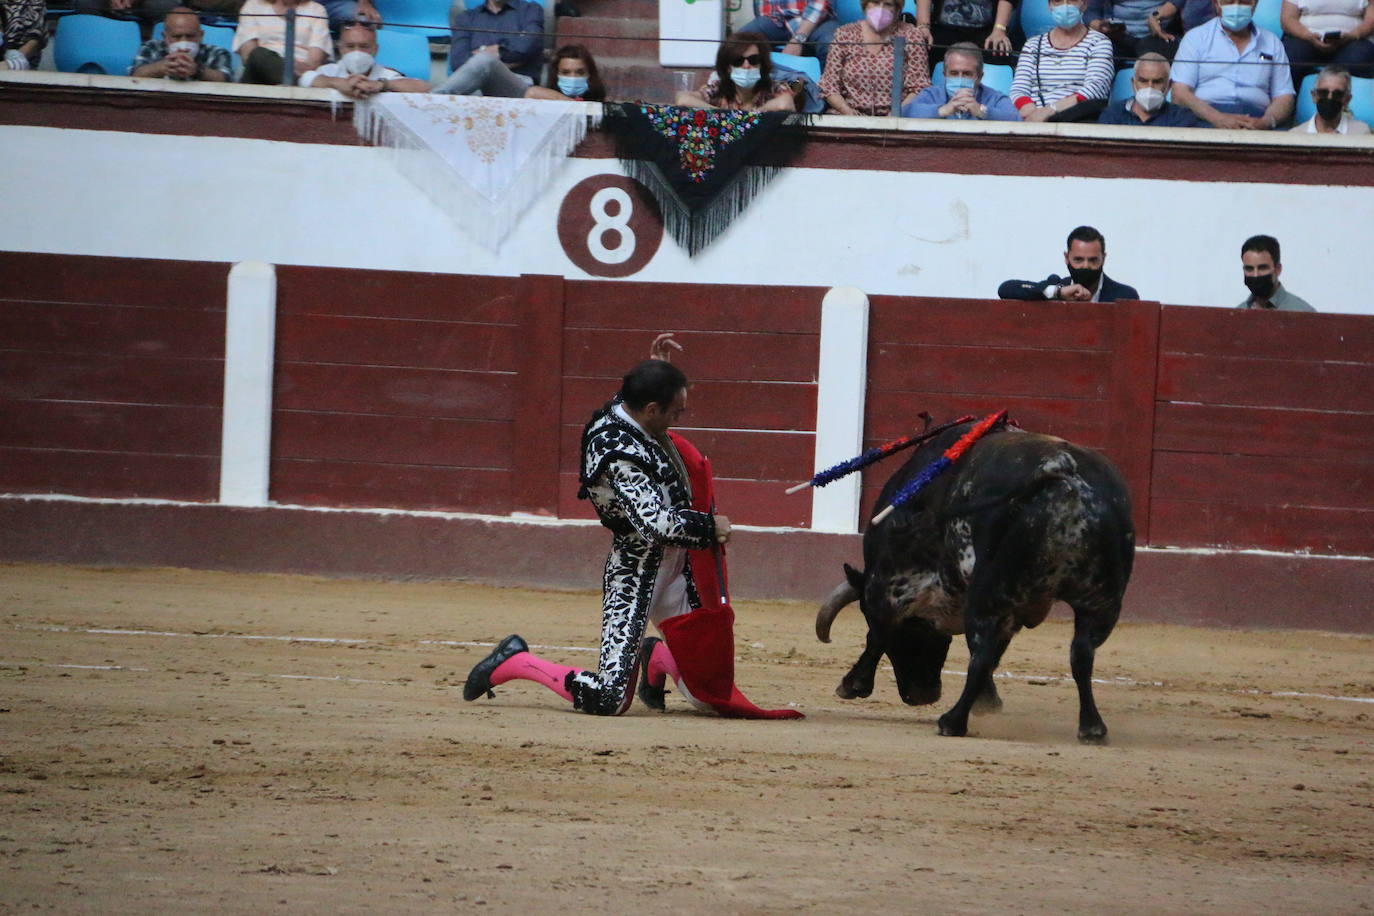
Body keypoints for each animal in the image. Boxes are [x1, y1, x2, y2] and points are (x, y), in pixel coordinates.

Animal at [818, 422, 1132, 747]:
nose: (921, 695)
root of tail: (1062, 471)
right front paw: (988, 701)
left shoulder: (886, 587)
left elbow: (877, 634)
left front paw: (852, 684)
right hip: (1100, 600)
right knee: (1081, 652)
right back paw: (1092, 728)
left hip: (989, 596)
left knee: (982, 654)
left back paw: (952, 722)